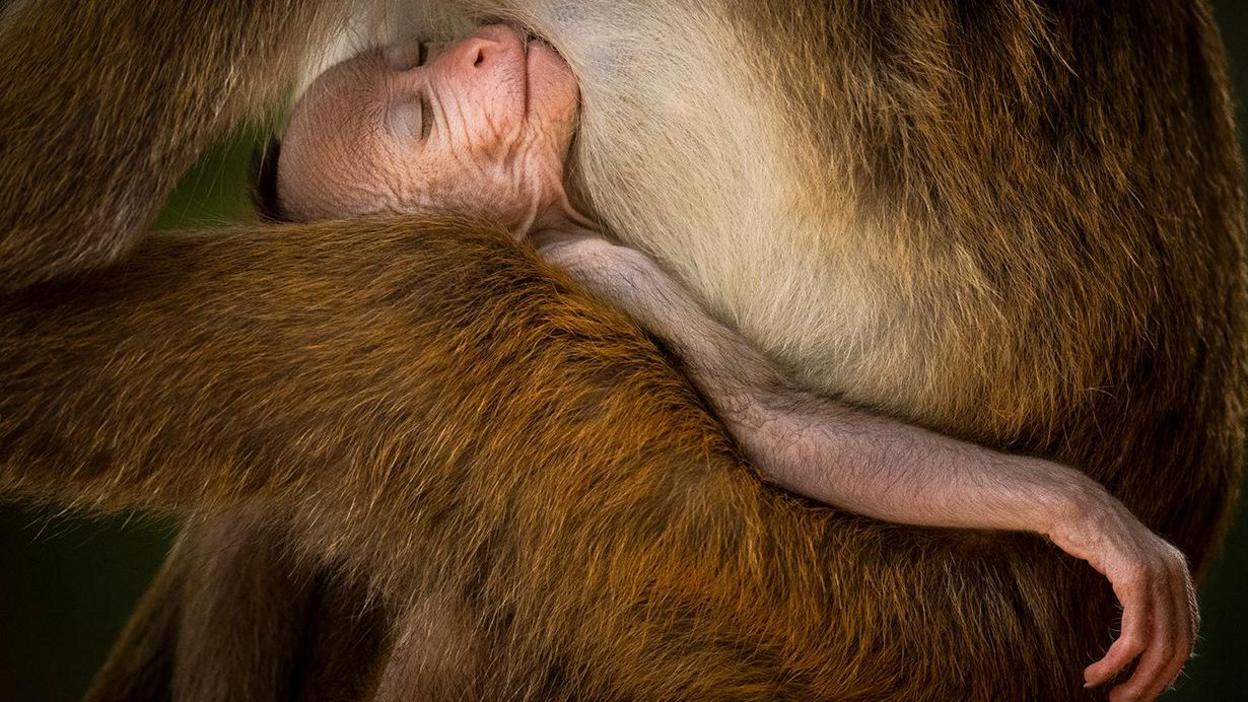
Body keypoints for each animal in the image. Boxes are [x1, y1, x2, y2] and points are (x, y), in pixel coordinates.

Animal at [0, 0, 1243, 694]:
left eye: (419, 57)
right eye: (417, 117)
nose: (479, 53)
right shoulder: (606, 267)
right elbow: (776, 430)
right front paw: (1083, 517)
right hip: (837, 626)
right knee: (445, 324)